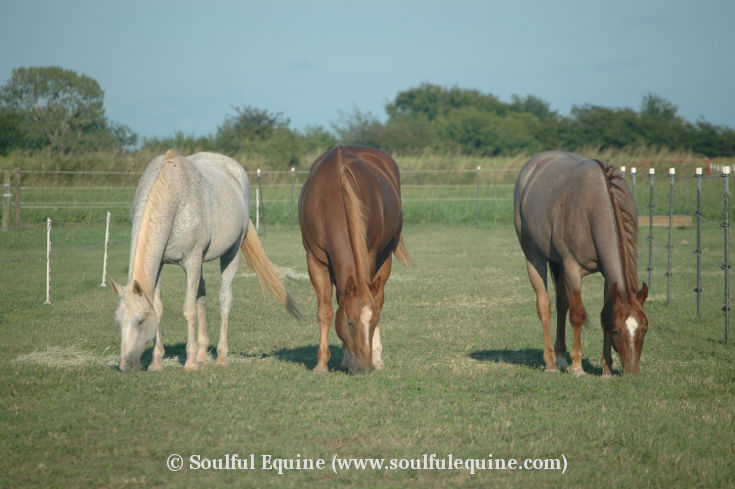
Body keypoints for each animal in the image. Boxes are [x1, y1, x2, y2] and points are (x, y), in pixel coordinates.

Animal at [110, 151, 300, 372]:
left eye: (140, 321)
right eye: (117, 322)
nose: (125, 365)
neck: (174, 195)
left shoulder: (191, 260)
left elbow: (188, 309)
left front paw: (191, 363)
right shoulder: (161, 264)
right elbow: (160, 307)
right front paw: (157, 362)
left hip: (231, 253)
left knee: (224, 298)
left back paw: (221, 357)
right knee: (201, 295)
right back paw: (202, 353)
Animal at [300, 145, 414, 374]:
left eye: (374, 322)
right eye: (350, 323)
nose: (364, 367)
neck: (331, 196)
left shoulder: (369, 254)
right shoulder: (315, 260)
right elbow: (325, 311)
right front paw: (321, 365)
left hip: (384, 257)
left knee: (379, 296)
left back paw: (376, 357)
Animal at [512, 151, 648, 376]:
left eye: (644, 329)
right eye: (616, 331)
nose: (632, 372)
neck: (595, 205)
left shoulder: (607, 278)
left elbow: (604, 313)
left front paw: (606, 369)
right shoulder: (573, 269)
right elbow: (577, 315)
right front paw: (577, 367)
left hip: (557, 263)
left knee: (560, 303)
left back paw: (560, 357)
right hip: (534, 256)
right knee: (544, 305)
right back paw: (550, 363)